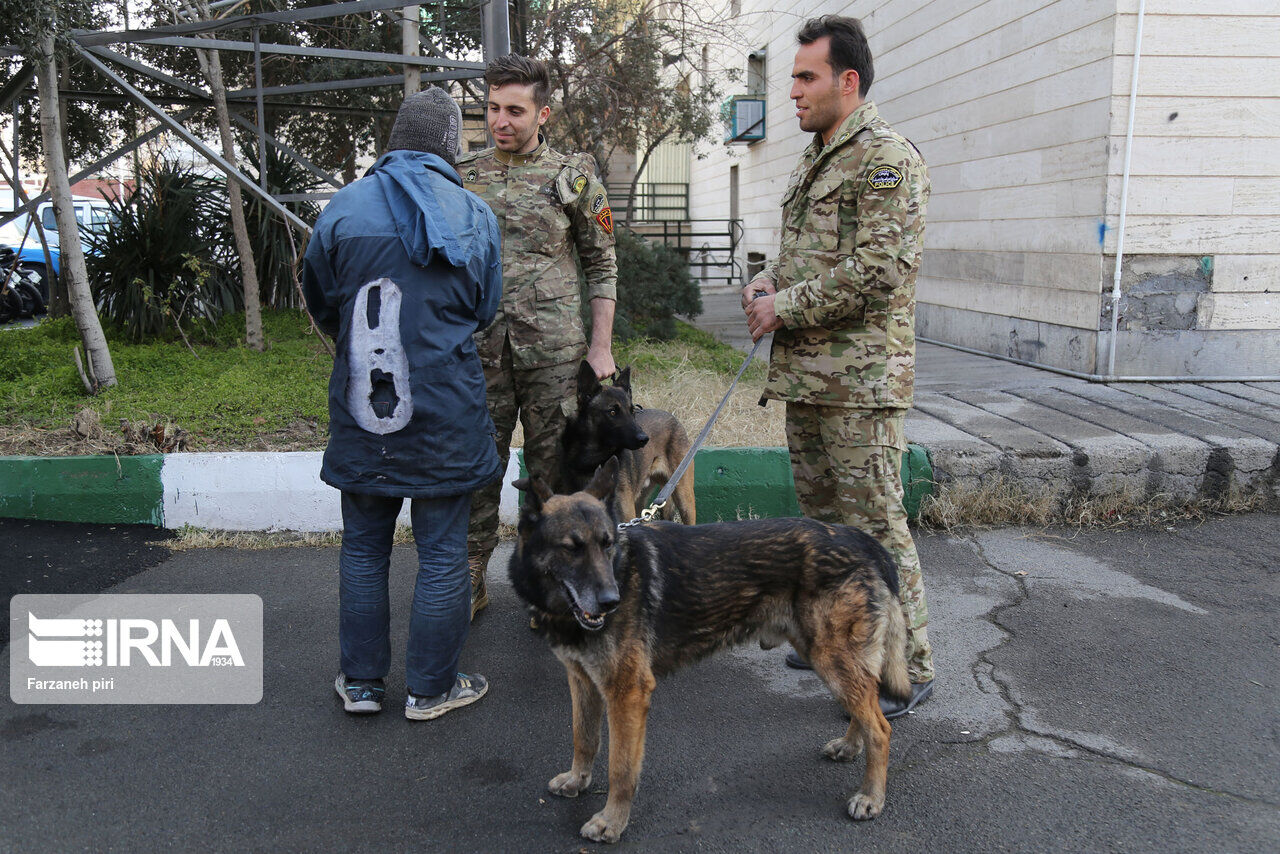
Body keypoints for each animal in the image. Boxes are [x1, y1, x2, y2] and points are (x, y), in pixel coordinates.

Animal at [509, 460, 911, 839]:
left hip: (832, 659)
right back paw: (851, 747)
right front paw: (578, 780)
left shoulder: (627, 694)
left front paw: (612, 821)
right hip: (830, 657)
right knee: (866, 704)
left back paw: (871, 796)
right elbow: (584, 738)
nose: (611, 602)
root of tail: (858, 537)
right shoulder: (582, 681)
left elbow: (620, 769)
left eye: (607, 545)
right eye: (571, 549)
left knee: (880, 728)